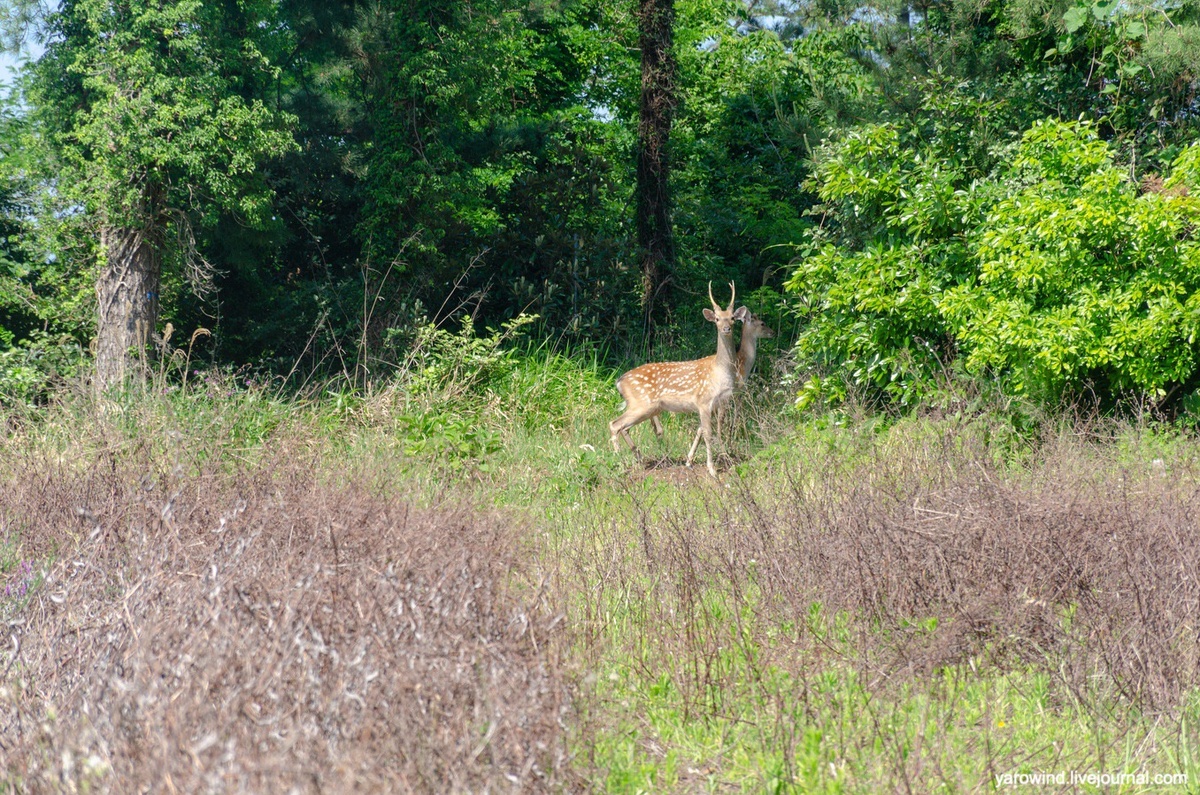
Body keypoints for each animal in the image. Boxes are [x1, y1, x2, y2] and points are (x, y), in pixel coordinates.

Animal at [609, 283, 748, 475]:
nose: (726, 329)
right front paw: (712, 469)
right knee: (614, 424)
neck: (720, 371)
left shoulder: (719, 402)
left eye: (733, 318)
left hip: (648, 408)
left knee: (624, 426)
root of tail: (619, 382)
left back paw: (638, 458)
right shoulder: (703, 401)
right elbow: (708, 433)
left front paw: (717, 460)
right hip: (642, 403)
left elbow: (712, 431)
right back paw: (621, 462)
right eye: (717, 319)